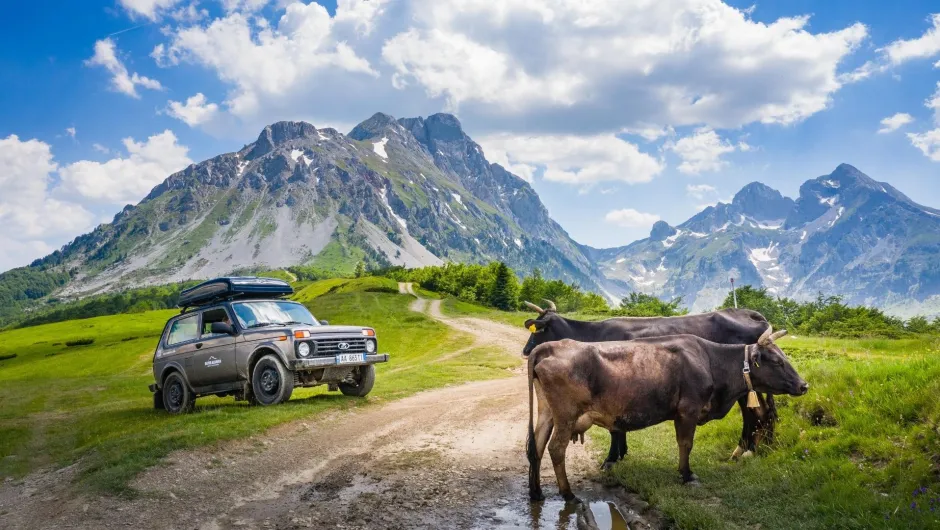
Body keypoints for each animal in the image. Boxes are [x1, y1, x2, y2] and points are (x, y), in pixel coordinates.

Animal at [522, 300, 777, 468]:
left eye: (538, 331)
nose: (525, 350)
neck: (594, 335)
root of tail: (751, 314)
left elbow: (615, 430)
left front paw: (611, 459)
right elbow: (618, 427)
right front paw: (621, 453)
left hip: (745, 387)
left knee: (755, 414)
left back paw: (744, 450)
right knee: (763, 413)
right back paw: (761, 448)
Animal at [526, 327, 808, 502]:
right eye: (777, 361)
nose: (804, 385)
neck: (709, 360)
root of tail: (550, 346)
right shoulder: (688, 410)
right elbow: (685, 443)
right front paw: (687, 474)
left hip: (546, 413)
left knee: (536, 447)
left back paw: (536, 492)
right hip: (566, 415)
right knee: (555, 448)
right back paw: (567, 494)